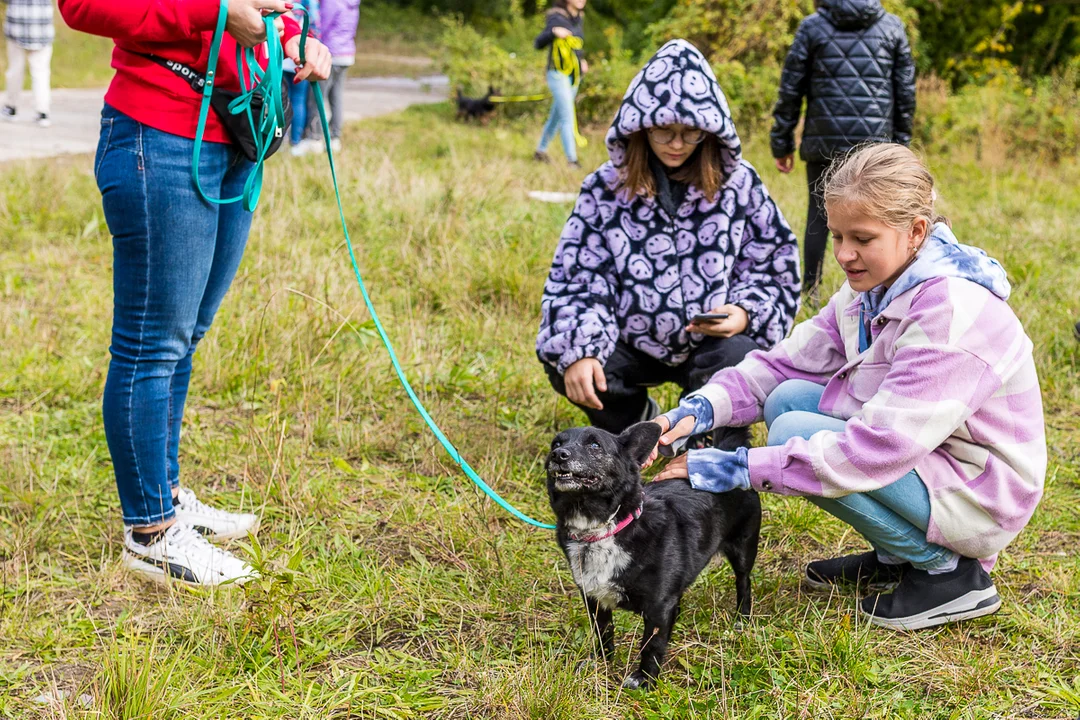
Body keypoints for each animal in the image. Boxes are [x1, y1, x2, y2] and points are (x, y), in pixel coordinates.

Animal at [544, 423, 764, 690]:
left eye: (595, 445)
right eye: (556, 443)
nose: (558, 455)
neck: (603, 529)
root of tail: (727, 447)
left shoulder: (658, 607)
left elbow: (651, 644)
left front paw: (644, 679)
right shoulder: (594, 599)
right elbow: (604, 633)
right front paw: (600, 663)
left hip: (743, 548)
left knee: (744, 583)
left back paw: (741, 619)